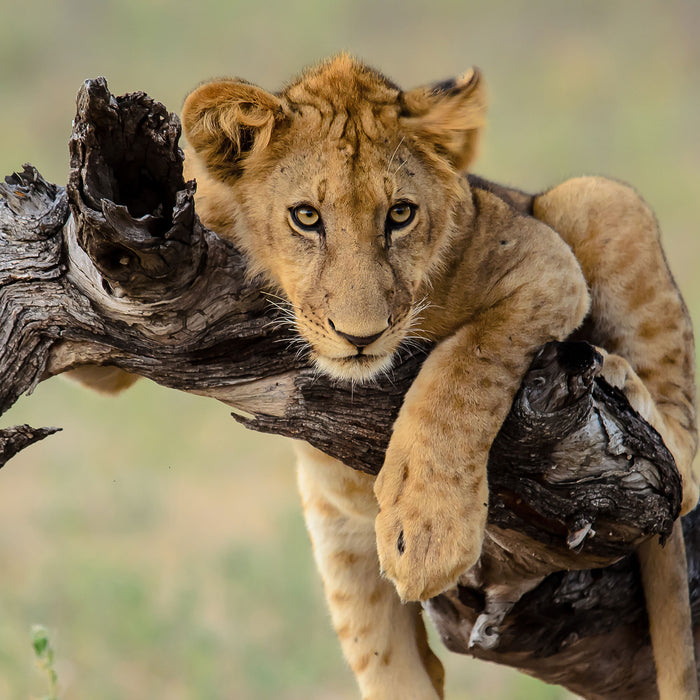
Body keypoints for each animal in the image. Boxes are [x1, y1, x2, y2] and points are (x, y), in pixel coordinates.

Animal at [178, 56, 696, 700]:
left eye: (400, 214)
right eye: (306, 217)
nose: (360, 336)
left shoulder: (547, 269)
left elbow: (463, 372)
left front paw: (427, 533)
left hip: (597, 197)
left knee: (684, 469)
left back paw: (617, 373)